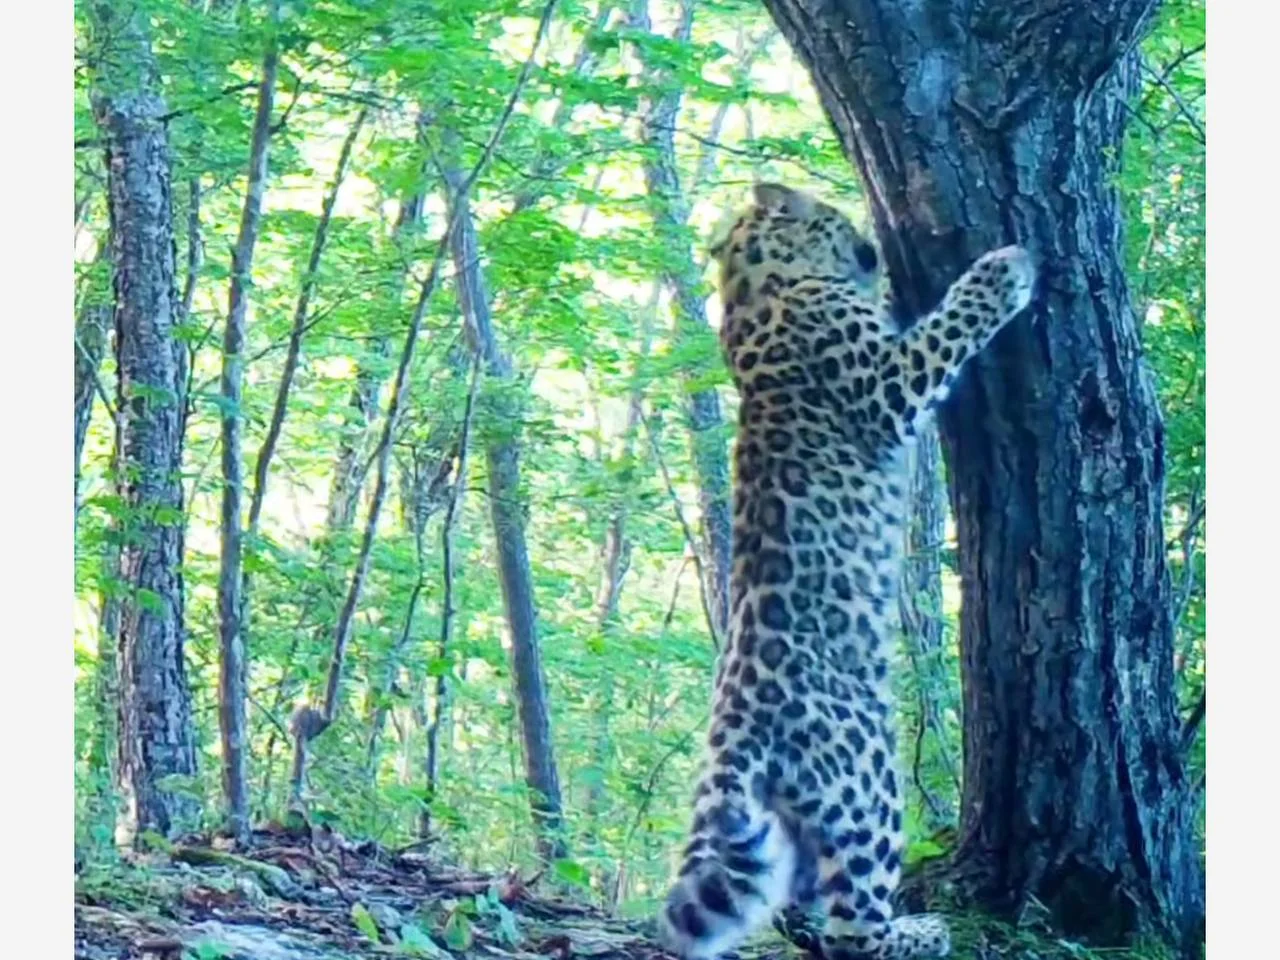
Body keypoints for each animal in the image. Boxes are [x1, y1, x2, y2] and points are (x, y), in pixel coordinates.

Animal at [656, 182, 1036, 960]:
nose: (873, 238)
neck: (752, 289)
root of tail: (734, 735)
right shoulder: (888, 384)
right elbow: (946, 325)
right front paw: (1004, 270)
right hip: (869, 781)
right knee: (853, 926)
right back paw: (924, 931)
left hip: (768, 823)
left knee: (781, 903)